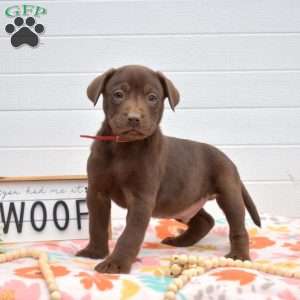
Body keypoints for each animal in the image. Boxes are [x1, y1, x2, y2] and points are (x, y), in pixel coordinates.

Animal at [77, 64, 260, 274]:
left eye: (152, 97)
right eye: (118, 94)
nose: (134, 118)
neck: (124, 146)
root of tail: (228, 159)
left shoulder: (141, 199)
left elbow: (130, 234)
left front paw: (116, 262)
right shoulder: (97, 192)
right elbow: (96, 225)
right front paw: (94, 251)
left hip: (229, 194)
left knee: (238, 227)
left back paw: (239, 255)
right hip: (182, 202)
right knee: (205, 220)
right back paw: (181, 241)